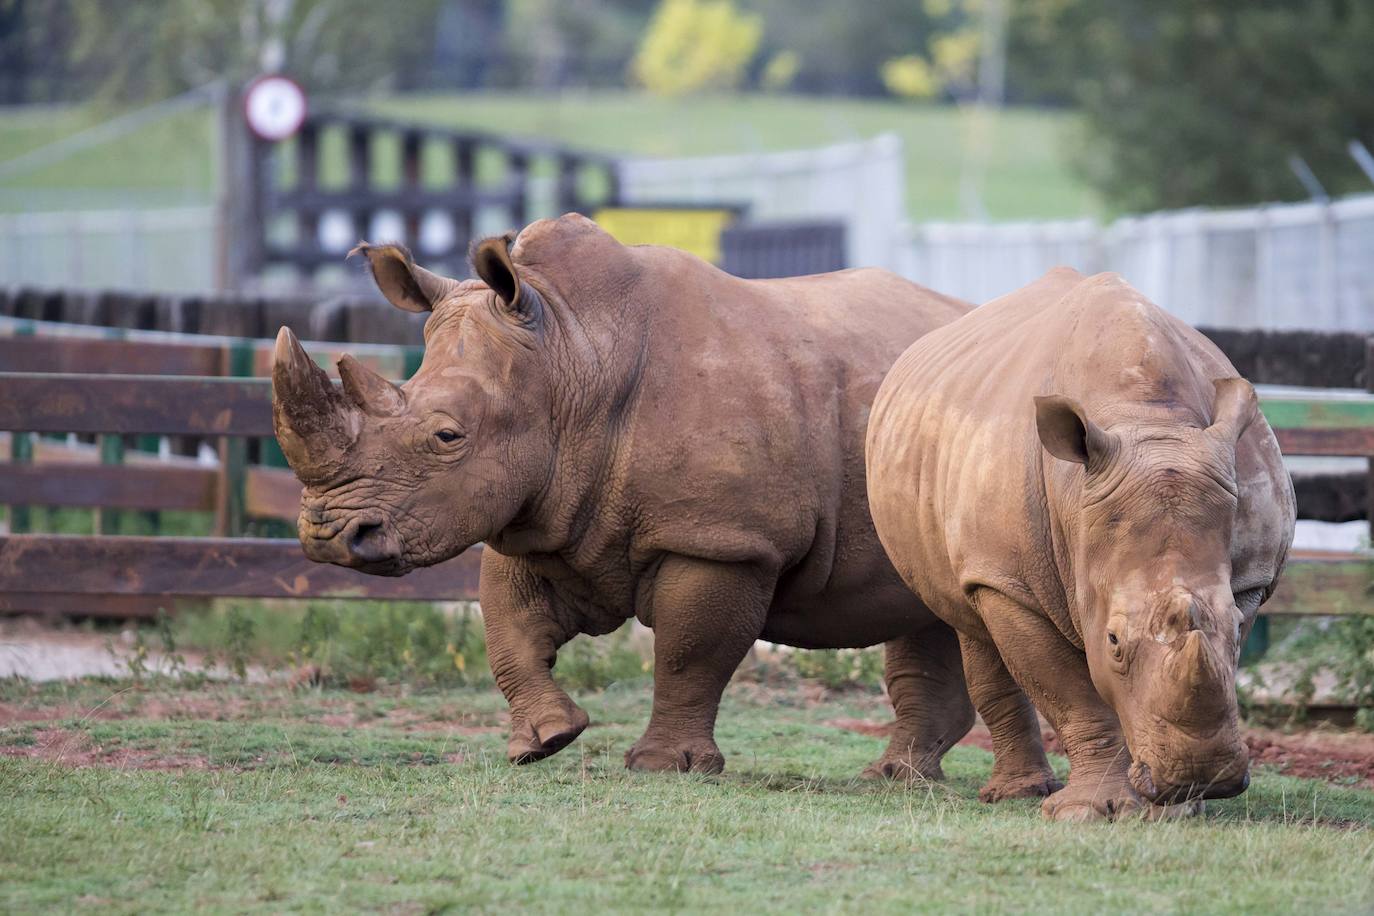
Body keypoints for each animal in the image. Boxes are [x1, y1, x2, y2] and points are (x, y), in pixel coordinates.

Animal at [273, 215, 978, 774]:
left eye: (448, 436)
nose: (328, 536)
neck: (570, 354)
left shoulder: (722, 539)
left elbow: (690, 653)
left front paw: (664, 766)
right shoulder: (539, 509)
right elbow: (507, 630)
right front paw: (542, 742)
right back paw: (897, 779)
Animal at [862, 266, 1291, 823]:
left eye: (1239, 628)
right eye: (1112, 641)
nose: (1207, 777)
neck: (1148, 419)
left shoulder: (1250, 580)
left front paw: (1170, 809)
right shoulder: (1008, 580)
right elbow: (1069, 691)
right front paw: (1088, 811)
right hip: (975, 539)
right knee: (973, 622)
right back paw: (1019, 795)